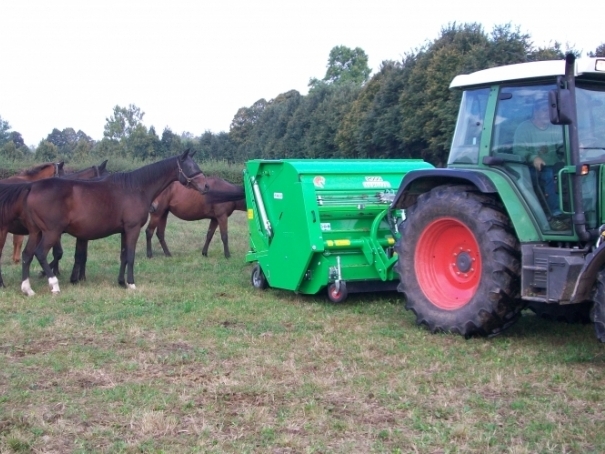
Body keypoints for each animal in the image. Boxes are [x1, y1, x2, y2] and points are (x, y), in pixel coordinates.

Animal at [19, 151, 208, 296]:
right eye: (190, 166)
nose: (206, 186)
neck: (135, 188)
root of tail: (33, 187)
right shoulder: (132, 229)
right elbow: (130, 256)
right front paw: (131, 284)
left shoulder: (124, 231)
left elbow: (123, 256)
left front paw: (121, 282)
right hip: (52, 232)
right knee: (40, 253)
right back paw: (54, 285)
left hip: (37, 232)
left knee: (27, 254)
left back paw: (27, 289)